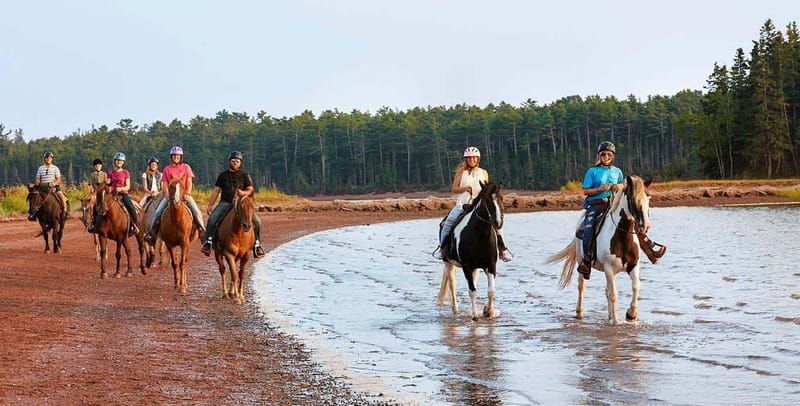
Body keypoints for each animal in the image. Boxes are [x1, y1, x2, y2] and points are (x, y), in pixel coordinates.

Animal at [436, 181, 505, 320]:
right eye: (487, 200)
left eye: (501, 198)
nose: (498, 222)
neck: (479, 235)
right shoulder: (466, 266)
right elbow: (472, 291)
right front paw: (475, 316)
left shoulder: (491, 265)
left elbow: (491, 291)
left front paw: (488, 311)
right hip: (449, 263)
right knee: (452, 285)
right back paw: (456, 311)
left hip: (475, 268)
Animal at [545, 175, 653, 325]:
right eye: (632, 199)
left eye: (648, 197)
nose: (646, 226)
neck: (622, 236)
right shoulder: (609, 268)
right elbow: (613, 294)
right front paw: (616, 321)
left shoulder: (633, 265)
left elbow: (636, 286)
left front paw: (631, 315)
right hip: (582, 262)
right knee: (582, 286)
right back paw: (580, 313)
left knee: (606, 290)